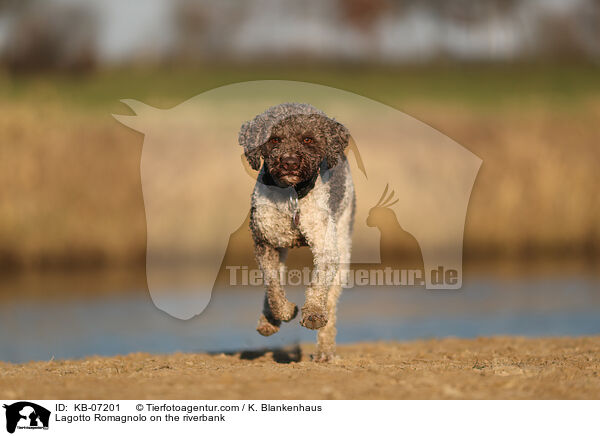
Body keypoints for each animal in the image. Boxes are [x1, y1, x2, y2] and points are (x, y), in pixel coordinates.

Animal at [238, 102, 354, 362]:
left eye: (308, 139)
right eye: (274, 140)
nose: (289, 162)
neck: (292, 197)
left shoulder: (326, 246)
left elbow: (319, 284)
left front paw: (313, 314)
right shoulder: (265, 241)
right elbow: (272, 285)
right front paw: (283, 311)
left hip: (343, 243)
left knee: (332, 300)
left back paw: (325, 351)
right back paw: (268, 320)